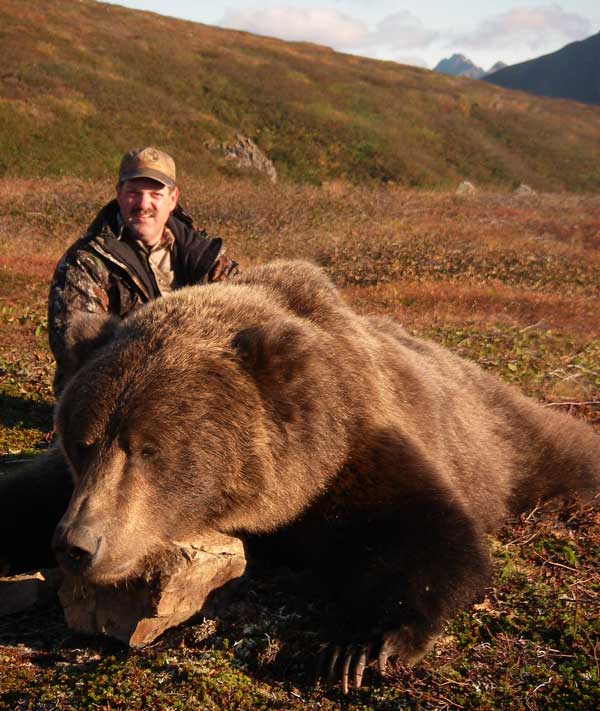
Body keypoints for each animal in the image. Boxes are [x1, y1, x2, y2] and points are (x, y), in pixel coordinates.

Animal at [41, 260, 600, 688]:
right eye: (82, 443)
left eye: (149, 449)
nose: (78, 544)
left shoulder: (351, 448)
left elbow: (435, 534)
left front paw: (361, 648)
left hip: (502, 437)